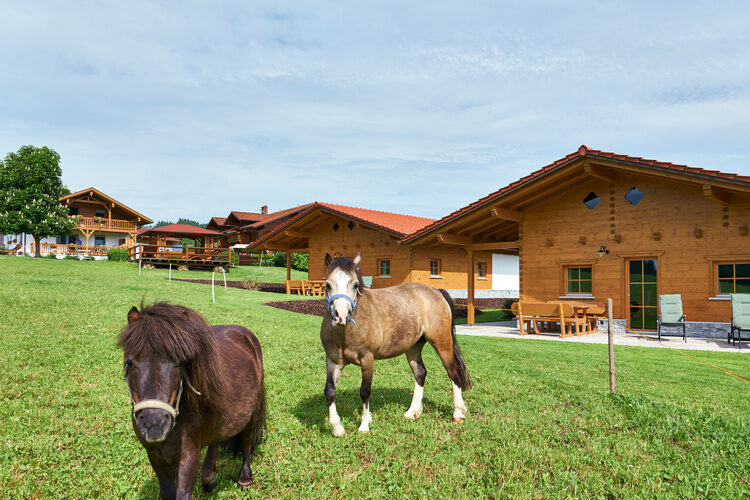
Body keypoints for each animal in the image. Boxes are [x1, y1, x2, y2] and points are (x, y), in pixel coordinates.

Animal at [119, 303, 265, 499]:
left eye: (180, 363)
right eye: (130, 363)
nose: (155, 425)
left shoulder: (188, 457)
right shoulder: (155, 455)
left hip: (252, 413)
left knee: (247, 440)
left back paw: (244, 478)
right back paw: (210, 477)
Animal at [320, 253, 471, 436]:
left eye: (355, 285)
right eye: (328, 284)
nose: (341, 316)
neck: (346, 332)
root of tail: (436, 292)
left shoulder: (367, 359)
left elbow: (365, 391)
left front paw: (364, 425)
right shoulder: (332, 361)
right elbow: (329, 391)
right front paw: (337, 428)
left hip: (442, 342)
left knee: (453, 371)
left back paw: (458, 413)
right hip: (413, 347)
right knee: (420, 373)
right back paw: (413, 412)